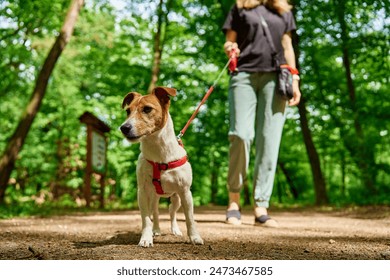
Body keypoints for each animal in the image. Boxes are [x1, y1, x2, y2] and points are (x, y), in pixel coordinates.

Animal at [119, 86, 204, 247]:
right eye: (128, 111)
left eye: (147, 109)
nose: (124, 127)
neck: (159, 154)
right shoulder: (142, 192)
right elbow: (146, 219)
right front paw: (146, 238)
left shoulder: (185, 192)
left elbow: (190, 219)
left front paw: (195, 237)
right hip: (154, 197)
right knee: (156, 212)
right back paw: (156, 230)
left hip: (176, 198)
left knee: (172, 212)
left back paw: (175, 229)